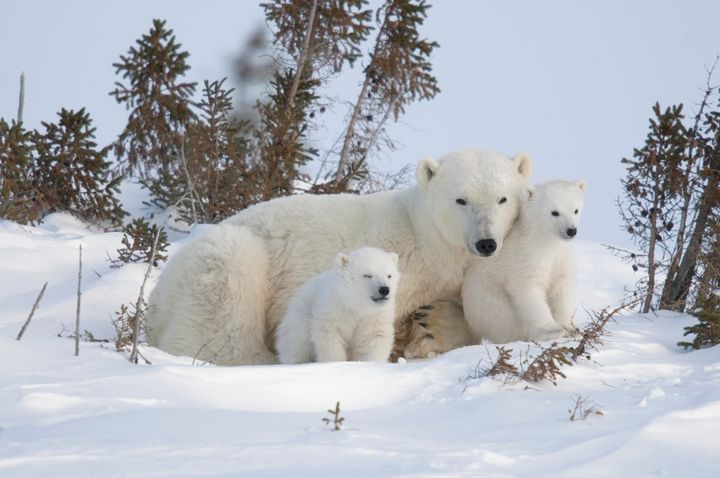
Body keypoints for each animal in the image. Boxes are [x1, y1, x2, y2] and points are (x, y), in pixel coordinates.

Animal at [146, 150, 532, 366]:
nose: (486, 243)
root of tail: (156, 298)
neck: (424, 239)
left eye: (502, 198)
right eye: (460, 200)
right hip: (222, 263)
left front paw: (431, 327)